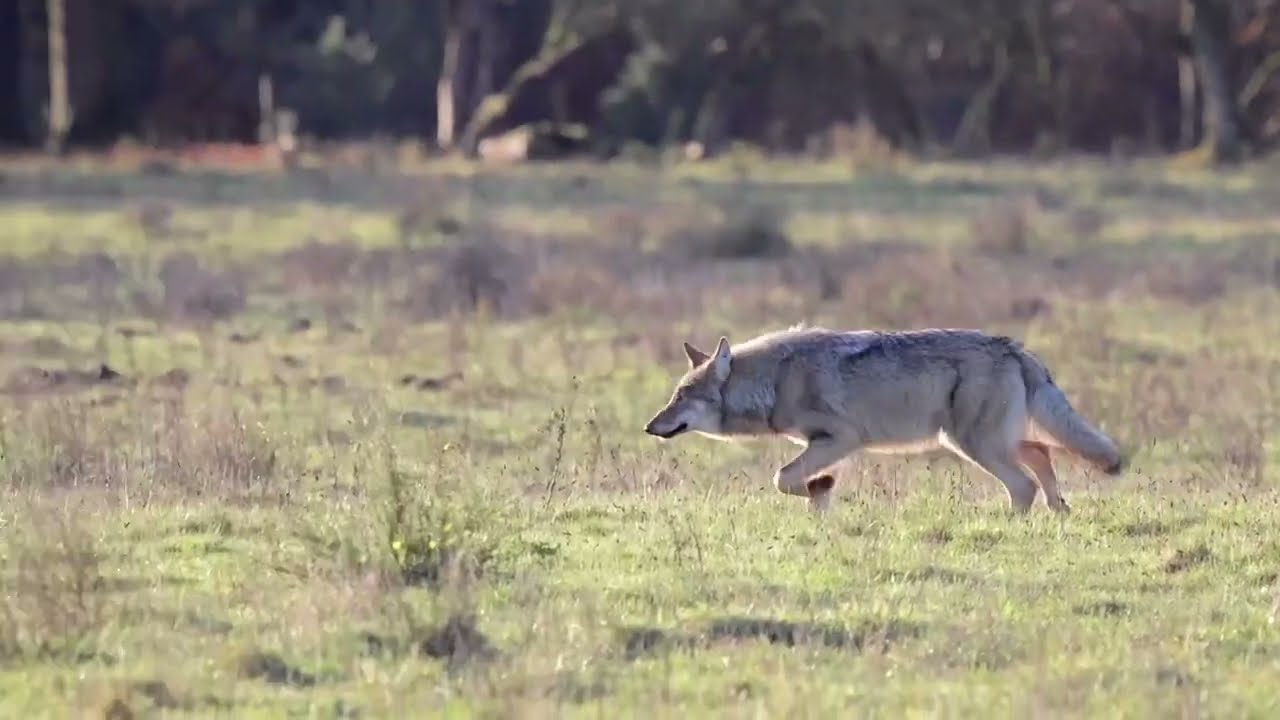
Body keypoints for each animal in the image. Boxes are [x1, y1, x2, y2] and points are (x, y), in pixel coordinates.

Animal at [643, 324, 1125, 513]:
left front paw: (819, 487)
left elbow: (783, 478)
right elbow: (797, 483)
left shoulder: (842, 438)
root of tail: (1014, 347)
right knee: (1042, 452)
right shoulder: (822, 445)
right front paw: (821, 495)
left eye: (683, 397)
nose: (649, 426)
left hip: (975, 445)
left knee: (1023, 485)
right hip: (972, 440)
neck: (776, 380)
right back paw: (1059, 511)